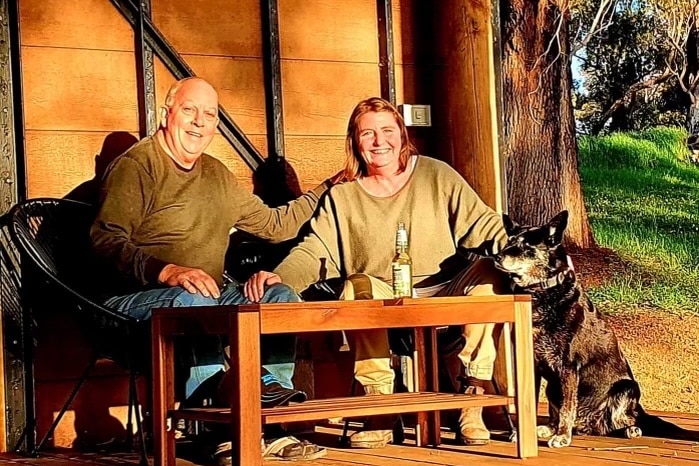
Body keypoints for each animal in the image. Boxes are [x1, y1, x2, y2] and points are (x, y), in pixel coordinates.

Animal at [492, 210, 696, 448]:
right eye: (510, 241)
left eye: (526, 246)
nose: (496, 257)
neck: (543, 294)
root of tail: (588, 424)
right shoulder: (533, 364)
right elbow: (534, 404)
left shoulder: (568, 366)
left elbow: (567, 408)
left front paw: (562, 437)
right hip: (554, 388)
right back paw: (549, 428)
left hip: (626, 387)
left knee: (621, 422)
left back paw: (629, 430)